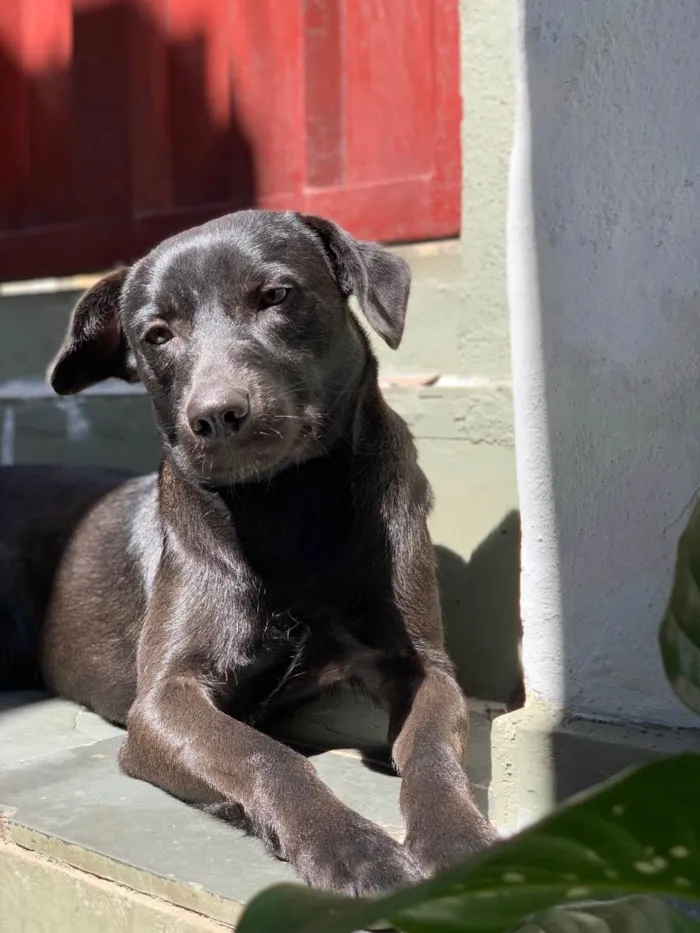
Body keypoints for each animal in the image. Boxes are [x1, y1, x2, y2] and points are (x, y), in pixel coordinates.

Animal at [0, 213, 494, 896]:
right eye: (157, 335)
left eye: (276, 296)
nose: (216, 415)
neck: (286, 505)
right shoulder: (162, 702)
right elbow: (267, 755)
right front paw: (351, 848)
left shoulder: (424, 668)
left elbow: (432, 755)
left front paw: (460, 842)